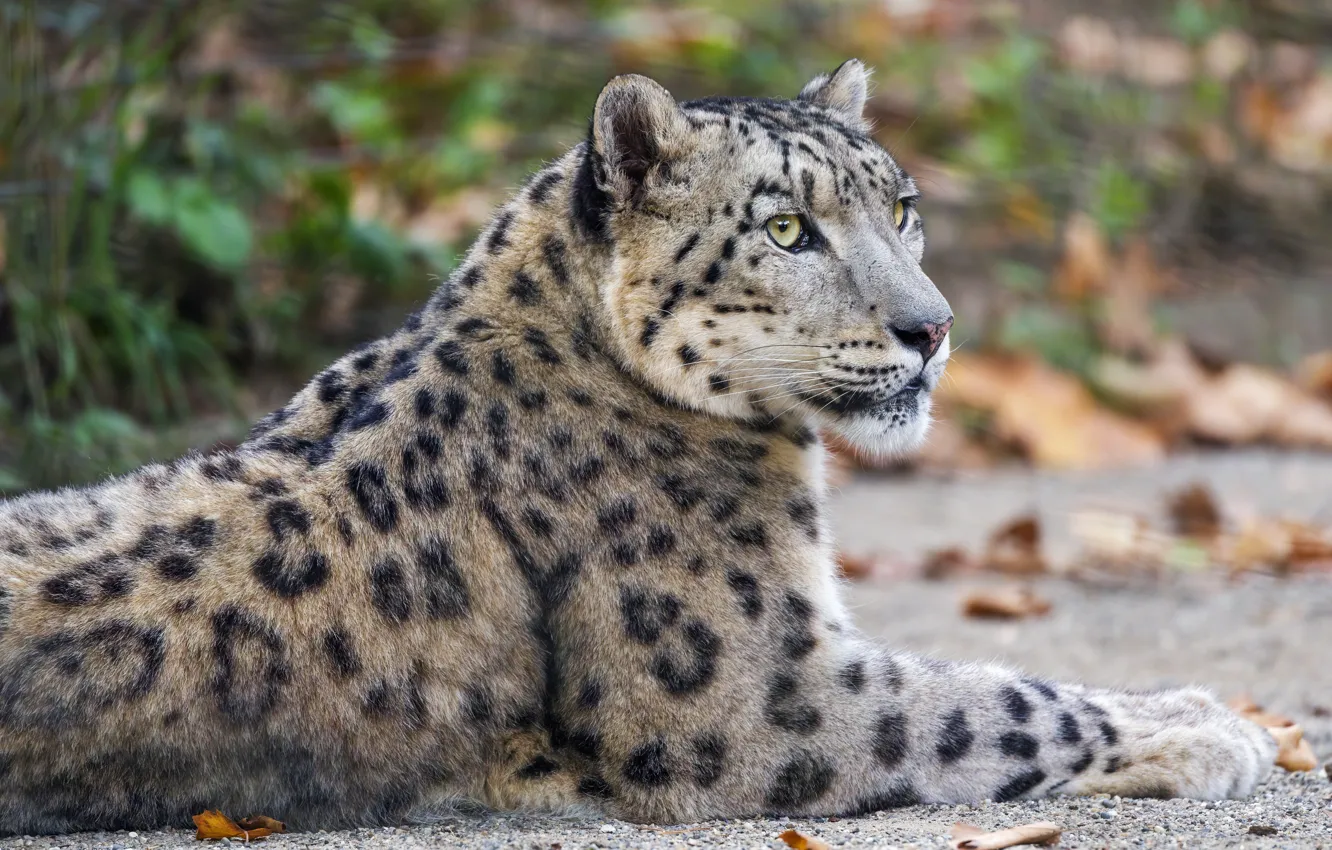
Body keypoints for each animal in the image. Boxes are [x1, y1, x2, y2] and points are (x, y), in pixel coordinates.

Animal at [0, 60, 1275, 835]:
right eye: (786, 228)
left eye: (902, 206)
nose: (933, 326)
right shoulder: (761, 691)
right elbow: (990, 701)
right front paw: (1216, 726)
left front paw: (1204, 714)